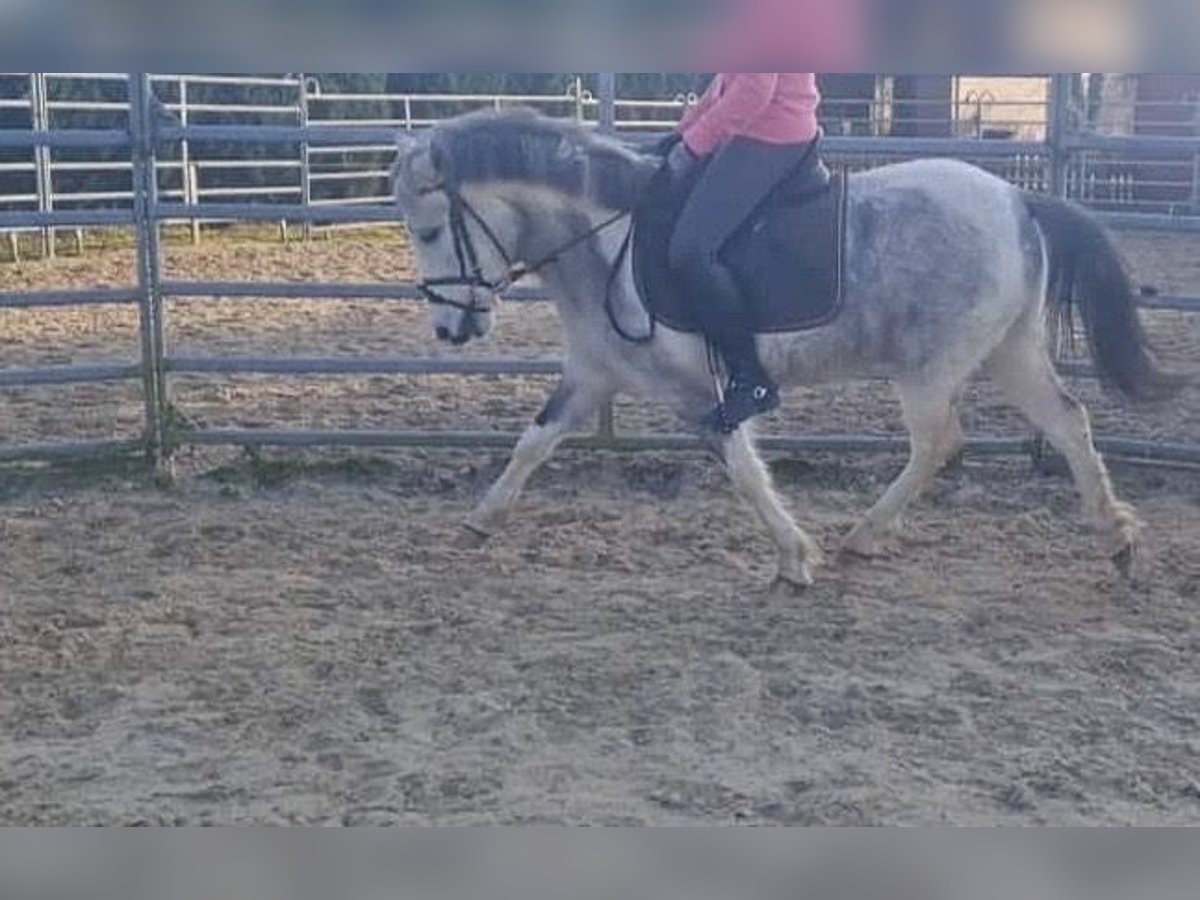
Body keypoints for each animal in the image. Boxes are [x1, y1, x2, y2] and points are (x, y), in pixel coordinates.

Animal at [391, 109, 1171, 592]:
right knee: (1068, 422)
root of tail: (1018, 200)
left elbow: (739, 464)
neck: (605, 239)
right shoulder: (592, 374)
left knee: (940, 442)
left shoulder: (696, 391)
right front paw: (482, 520)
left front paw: (795, 558)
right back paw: (1117, 538)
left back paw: (864, 534)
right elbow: (533, 441)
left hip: (928, 369)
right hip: (1011, 350)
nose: (450, 332)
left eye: (427, 230)